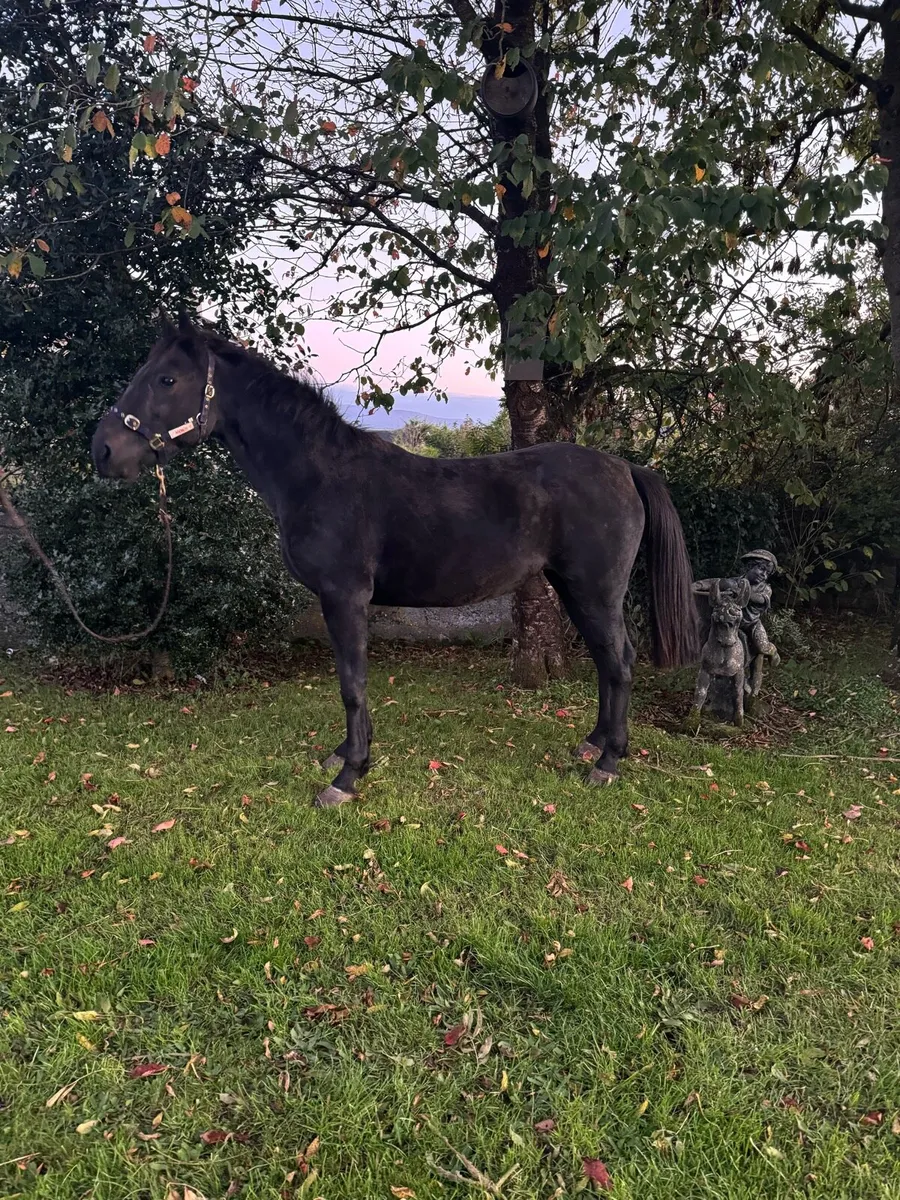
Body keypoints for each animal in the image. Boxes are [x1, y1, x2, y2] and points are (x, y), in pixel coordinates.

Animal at [91, 316, 698, 808]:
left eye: (167, 380)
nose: (103, 450)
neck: (319, 474)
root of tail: (625, 469)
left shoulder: (344, 597)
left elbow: (352, 683)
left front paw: (347, 778)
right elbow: (349, 680)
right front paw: (344, 755)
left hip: (594, 590)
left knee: (620, 661)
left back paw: (609, 763)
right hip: (573, 589)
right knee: (606, 661)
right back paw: (593, 745)